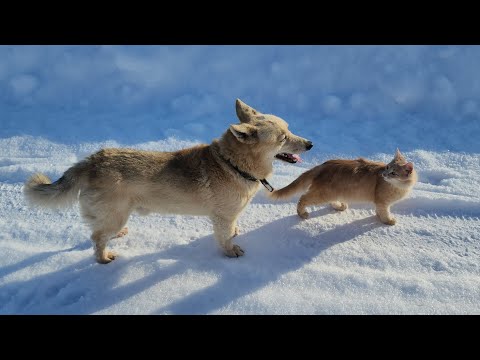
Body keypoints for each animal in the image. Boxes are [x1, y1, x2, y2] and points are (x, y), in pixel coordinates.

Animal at [24, 100, 314, 262]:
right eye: (283, 138)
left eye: (289, 130)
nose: (310, 144)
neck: (232, 164)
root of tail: (92, 160)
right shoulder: (221, 217)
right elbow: (224, 239)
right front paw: (230, 252)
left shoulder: (229, 216)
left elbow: (230, 230)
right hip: (115, 214)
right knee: (96, 238)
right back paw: (104, 258)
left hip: (115, 213)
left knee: (100, 230)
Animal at [270, 149, 416, 225]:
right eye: (387, 167)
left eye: (393, 173)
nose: (384, 174)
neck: (399, 187)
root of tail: (322, 165)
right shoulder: (382, 202)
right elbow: (384, 213)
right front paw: (388, 220)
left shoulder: (380, 202)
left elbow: (379, 212)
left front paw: (379, 217)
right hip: (322, 194)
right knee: (303, 198)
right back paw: (302, 213)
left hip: (331, 192)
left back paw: (340, 206)